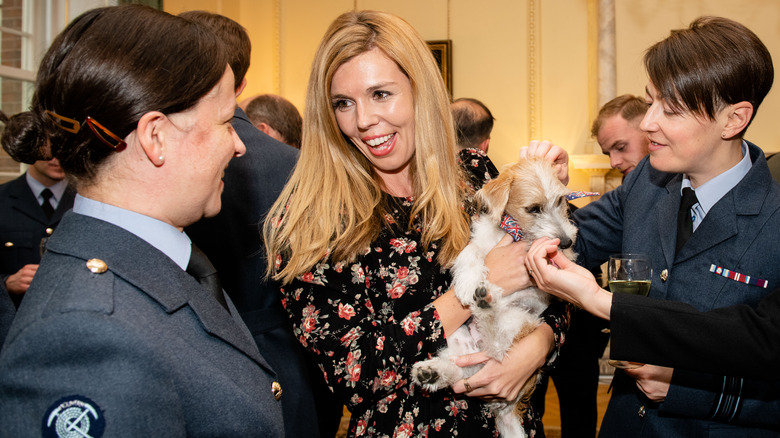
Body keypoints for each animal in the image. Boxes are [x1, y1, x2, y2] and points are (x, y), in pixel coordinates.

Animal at [414, 158, 580, 438]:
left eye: (560, 201)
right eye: (533, 209)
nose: (566, 242)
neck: (515, 232)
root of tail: (505, 409)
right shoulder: (481, 242)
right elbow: (470, 253)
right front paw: (468, 281)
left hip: (517, 322)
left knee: (497, 346)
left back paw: (485, 304)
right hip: (459, 336)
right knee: (465, 368)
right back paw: (432, 372)